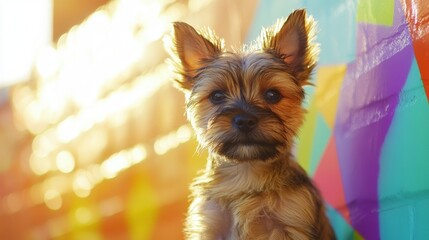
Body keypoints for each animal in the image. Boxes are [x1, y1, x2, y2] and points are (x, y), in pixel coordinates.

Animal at [166, 8, 336, 239]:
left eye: (272, 95)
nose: (245, 120)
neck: (245, 174)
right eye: (217, 96)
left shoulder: (292, 220)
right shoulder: (211, 224)